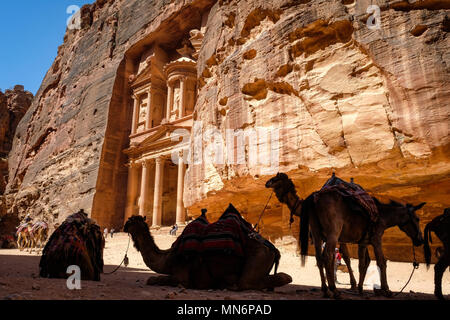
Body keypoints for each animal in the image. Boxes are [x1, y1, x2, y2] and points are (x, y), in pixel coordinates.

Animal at [123, 205, 292, 290]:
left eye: (130, 221)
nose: (124, 226)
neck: (168, 258)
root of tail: (275, 250)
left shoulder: (181, 274)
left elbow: (153, 279)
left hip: (259, 255)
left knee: (251, 282)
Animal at [298, 189, 426, 298]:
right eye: (417, 219)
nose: (420, 240)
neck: (382, 214)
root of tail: (316, 196)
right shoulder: (376, 240)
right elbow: (381, 262)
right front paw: (386, 290)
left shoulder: (363, 243)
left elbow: (362, 264)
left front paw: (360, 289)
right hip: (333, 235)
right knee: (328, 257)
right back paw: (334, 290)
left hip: (317, 235)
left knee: (319, 259)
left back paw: (325, 291)